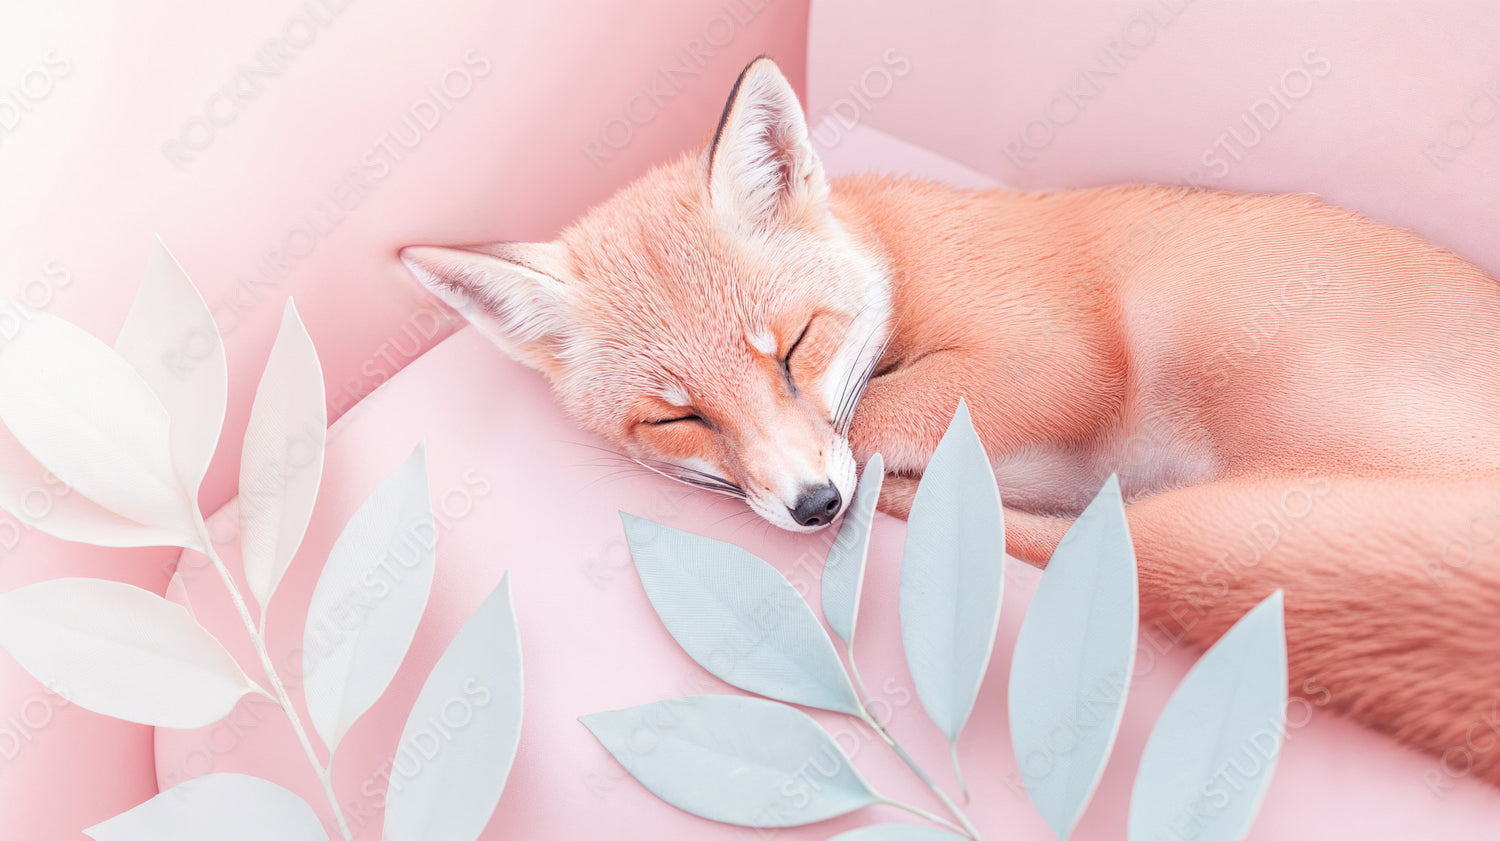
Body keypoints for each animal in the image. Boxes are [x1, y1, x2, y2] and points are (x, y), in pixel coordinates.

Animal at [401, 56, 1500, 785]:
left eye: (795, 346)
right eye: (680, 416)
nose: (814, 506)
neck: (901, 256)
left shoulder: (1052, 356)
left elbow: (891, 409)